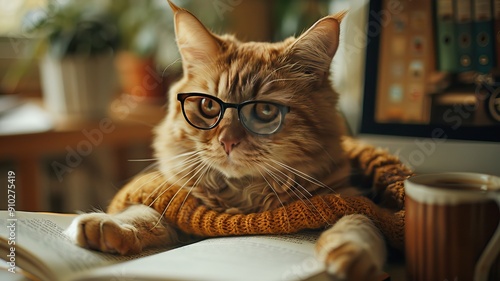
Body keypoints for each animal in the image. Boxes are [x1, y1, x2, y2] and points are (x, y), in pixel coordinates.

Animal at [66, 1, 386, 278]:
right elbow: (144, 214)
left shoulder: (349, 198)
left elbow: (360, 222)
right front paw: (107, 225)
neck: (242, 198)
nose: (228, 142)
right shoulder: (180, 208)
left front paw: (353, 253)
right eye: (209, 106)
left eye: (265, 110)